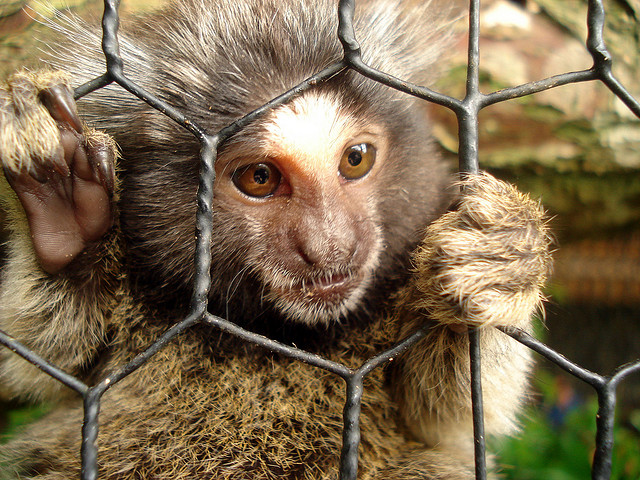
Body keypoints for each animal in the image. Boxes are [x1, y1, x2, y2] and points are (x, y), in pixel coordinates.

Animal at [0, 0, 552, 478]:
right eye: (260, 178)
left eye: (356, 159)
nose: (330, 247)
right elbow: (51, 355)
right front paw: (69, 217)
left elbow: (447, 412)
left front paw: (502, 258)